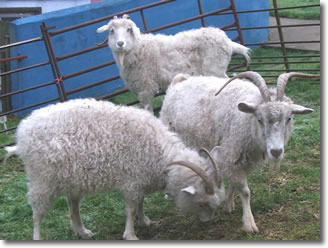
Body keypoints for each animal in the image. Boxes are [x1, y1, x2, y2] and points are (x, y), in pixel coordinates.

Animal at [4, 98, 226, 240]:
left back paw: (82, 231)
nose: (207, 223)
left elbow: (141, 202)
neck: (163, 156)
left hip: (72, 177)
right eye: (201, 203)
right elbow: (130, 208)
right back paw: (38, 237)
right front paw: (131, 234)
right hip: (42, 180)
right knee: (37, 213)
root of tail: (22, 135)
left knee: (72, 204)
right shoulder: (131, 181)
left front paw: (144, 221)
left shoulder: (140, 179)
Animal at [96, 14, 250, 113]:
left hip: (215, 69)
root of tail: (228, 42)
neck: (138, 49)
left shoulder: (146, 87)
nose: (120, 43)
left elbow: (148, 111)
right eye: (111, 31)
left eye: (129, 29)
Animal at [160, 71, 320, 232]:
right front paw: (249, 223)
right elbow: (245, 191)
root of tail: (179, 81)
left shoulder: (237, 158)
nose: (276, 152)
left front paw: (228, 204)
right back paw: (168, 193)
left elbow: (233, 183)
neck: (246, 120)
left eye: (289, 118)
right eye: (259, 119)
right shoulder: (231, 152)